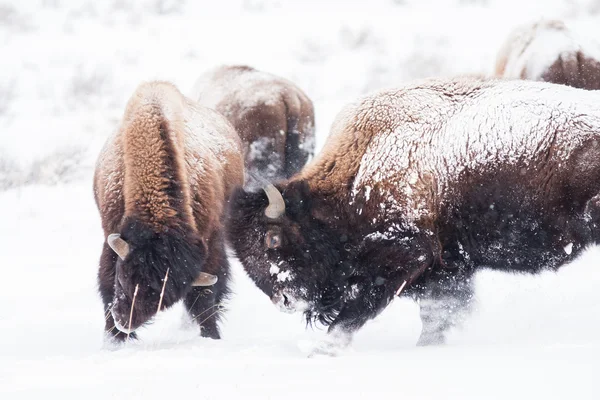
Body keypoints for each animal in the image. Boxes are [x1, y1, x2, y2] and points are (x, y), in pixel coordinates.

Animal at [94, 82, 244, 344]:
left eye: (163, 302)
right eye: (122, 280)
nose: (123, 323)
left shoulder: (210, 242)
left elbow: (204, 296)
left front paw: (211, 336)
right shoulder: (110, 236)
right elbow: (105, 282)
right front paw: (115, 340)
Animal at [226, 76, 600, 354]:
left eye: (272, 238)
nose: (285, 301)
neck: (360, 164)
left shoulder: (405, 254)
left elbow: (357, 311)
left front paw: (324, 351)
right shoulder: (448, 266)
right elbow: (439, 315)